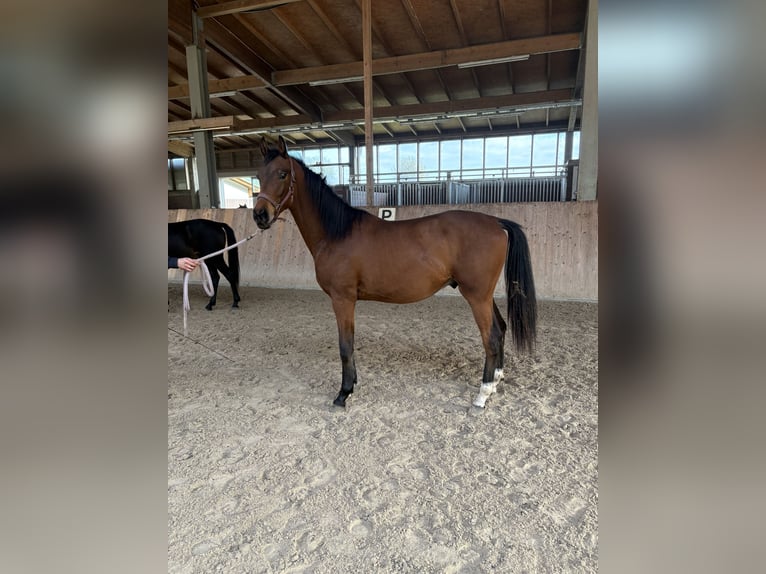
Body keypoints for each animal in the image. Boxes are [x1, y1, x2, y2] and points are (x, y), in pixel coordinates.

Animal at [255, 137, 536, 412]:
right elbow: (350, 344)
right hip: (484, 296)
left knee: (491, 338)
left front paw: (343, 394)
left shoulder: (342, 299)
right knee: (501, 328)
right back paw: (496, 380)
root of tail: (497, 223)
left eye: (282, 174)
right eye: (258, 176)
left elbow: (345, 346)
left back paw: (482, 395)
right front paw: (352, 383)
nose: (260, 215)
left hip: (477, 297)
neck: (337, 232)